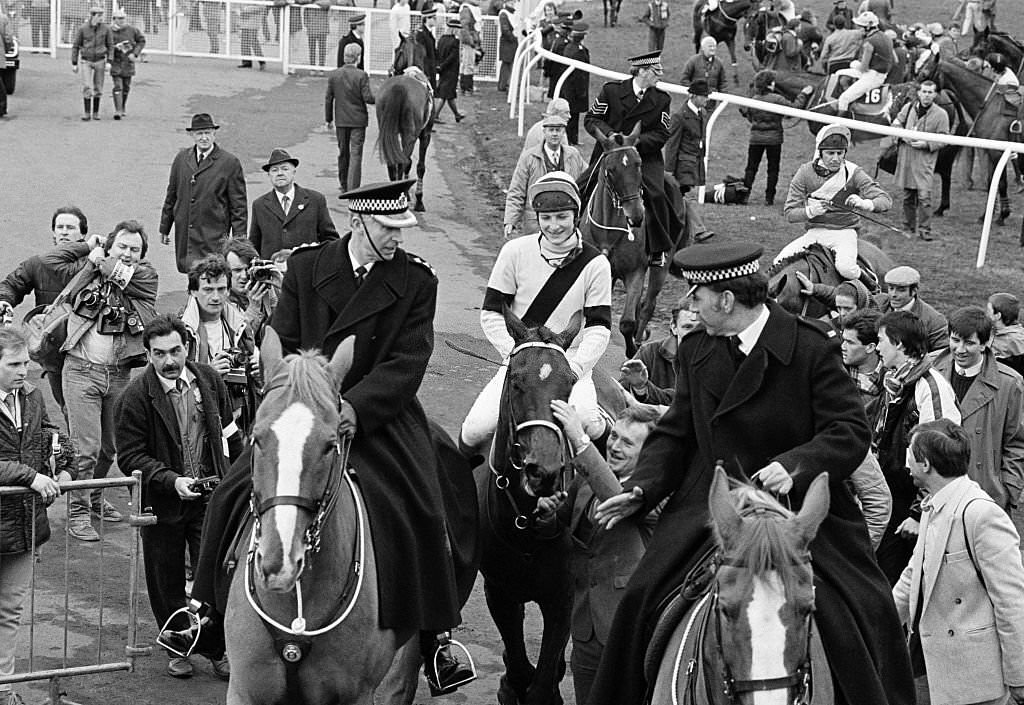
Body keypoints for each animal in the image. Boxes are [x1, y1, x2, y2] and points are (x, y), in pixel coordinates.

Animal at [380, 71, 436, 215]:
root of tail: (400, 86)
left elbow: (408, 162)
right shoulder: (425, 135)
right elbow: (420, 167)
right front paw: (419, 201)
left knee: (393, 163)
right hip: (410, 134)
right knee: (402, 163)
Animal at [475, 307, 581, 705]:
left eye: (570, 383)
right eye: (517, 381)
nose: (545, 471)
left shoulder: (562, 598)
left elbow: (542, 681)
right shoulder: (500, 592)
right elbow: (521, 671)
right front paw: (510, 683)